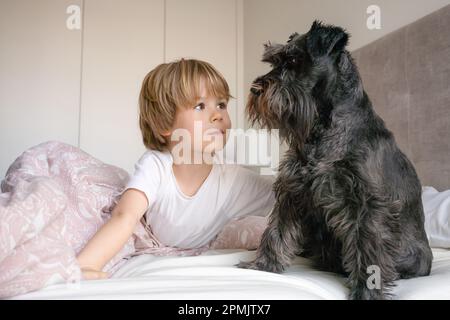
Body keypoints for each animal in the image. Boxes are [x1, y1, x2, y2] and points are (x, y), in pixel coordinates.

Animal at [239, 20, 432, 300]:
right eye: (273, 61)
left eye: (293, 60)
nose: (255, 90)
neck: (322, 127)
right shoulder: (292, 192)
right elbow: (277, 231)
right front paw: (263, 266)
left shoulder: (367, 205)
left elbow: (368, 248)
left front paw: (367, 292)